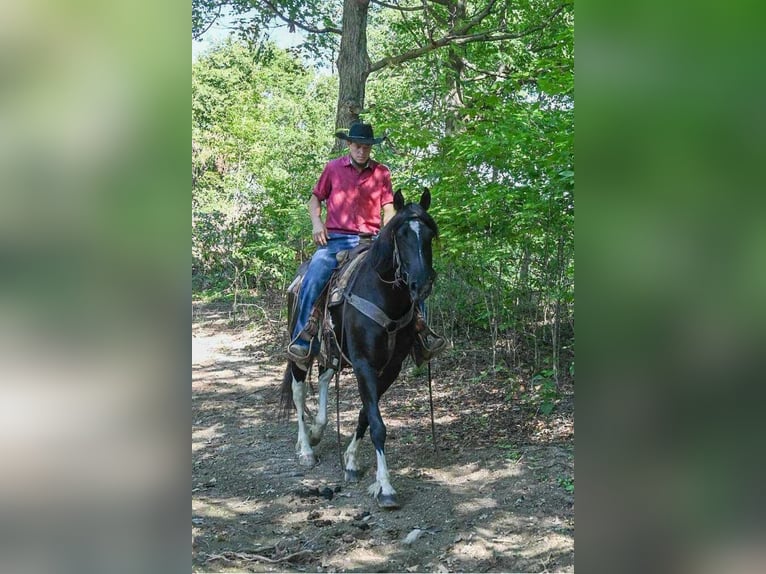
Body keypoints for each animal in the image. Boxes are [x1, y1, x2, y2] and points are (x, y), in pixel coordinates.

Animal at [280, 188, 438, 508]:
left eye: (429, 233)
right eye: (402, 234)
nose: (421, 284)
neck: (384, 295)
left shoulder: (391, 367)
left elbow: (367, 414)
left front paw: (351, 461)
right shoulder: (364, 363)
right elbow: (377, 423)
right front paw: (386, 487)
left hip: (334, 351)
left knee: (324, 378)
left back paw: (318, 429)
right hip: (301, 347)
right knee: (299, 389)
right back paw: (305, 448)